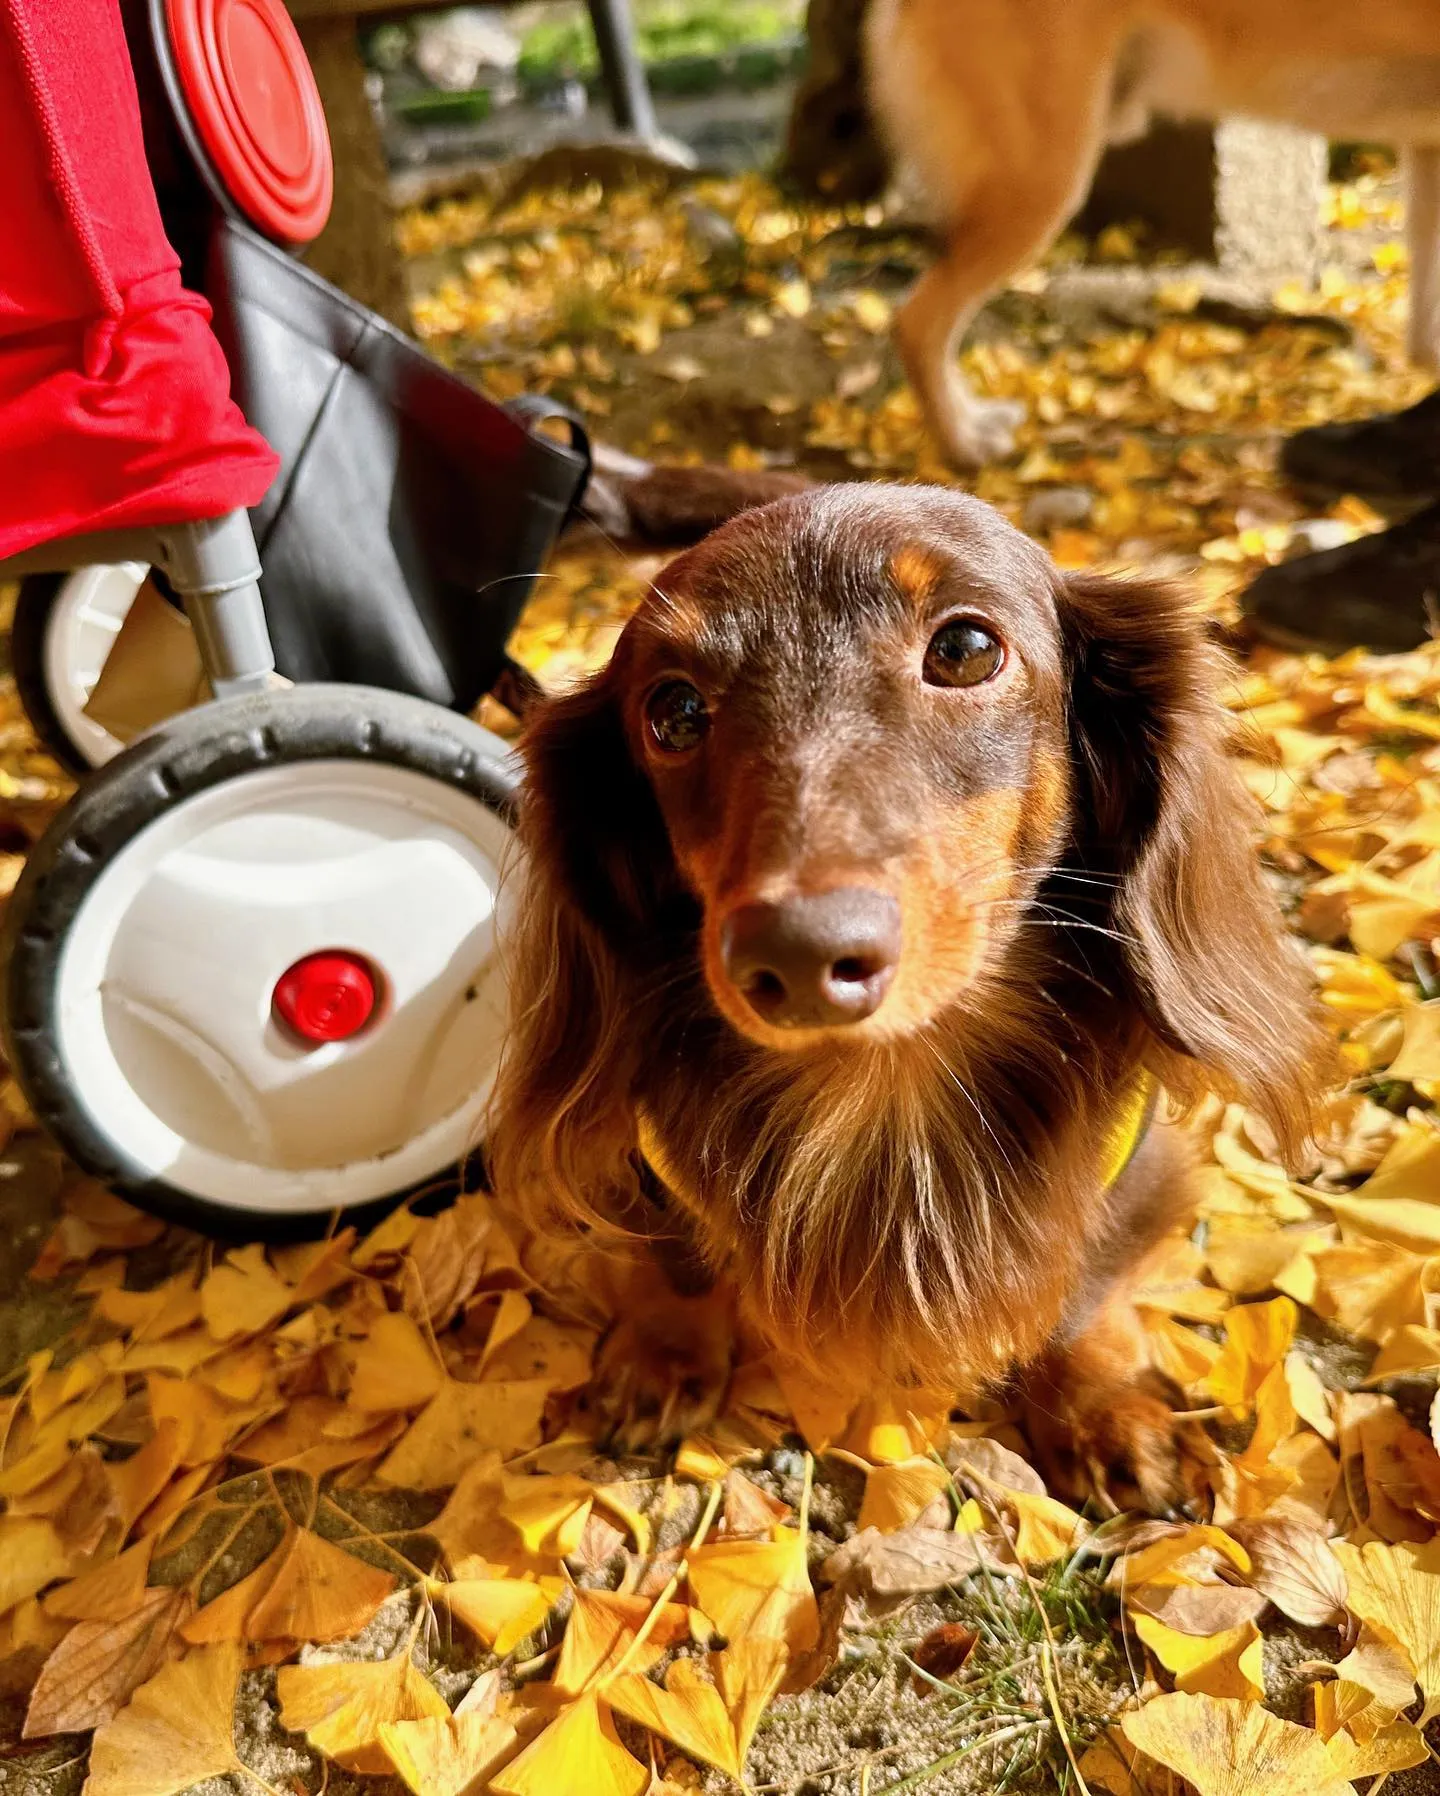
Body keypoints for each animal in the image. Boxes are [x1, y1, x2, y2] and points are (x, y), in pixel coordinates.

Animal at [488, 484, 1328, 1508]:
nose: (799, 954)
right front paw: (665, 1354)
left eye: (964, 649)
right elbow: (680, 1258)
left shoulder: (1131, 1168)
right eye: (674, 711)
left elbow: (1085, 1289)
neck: (885, 1083)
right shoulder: (648, 1160)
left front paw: (1102, 1406)